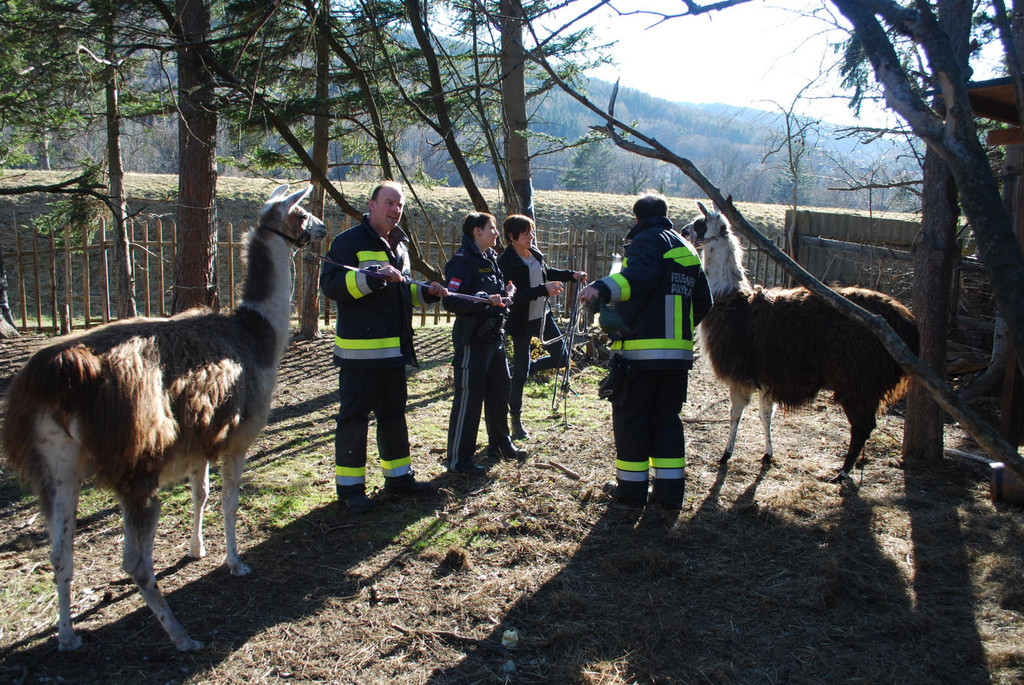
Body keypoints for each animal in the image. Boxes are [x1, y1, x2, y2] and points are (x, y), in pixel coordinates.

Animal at [1, 184, 326, 651]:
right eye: (300, 213)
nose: (322, 228)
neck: (259, 333)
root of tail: (59, 371)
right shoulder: (237, 436)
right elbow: (228, 502)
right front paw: (235, 562)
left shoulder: (201, 438)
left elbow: (200, 494)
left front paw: (196, 549)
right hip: (137, 464)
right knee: (134, 562)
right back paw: (181, 636)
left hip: (55, 467)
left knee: (60, 553)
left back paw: (67, 636)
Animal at [684, 202, 918, 483]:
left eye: (699, 223)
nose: (683, 230)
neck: (727, 297)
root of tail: (907, 322)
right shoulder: (767, 377)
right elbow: (765, 416)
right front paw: (768, 454)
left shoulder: (740, 375)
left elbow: (735, 415)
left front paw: (726, 454)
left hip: (857, 378)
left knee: (862, 426)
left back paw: (842, 472)